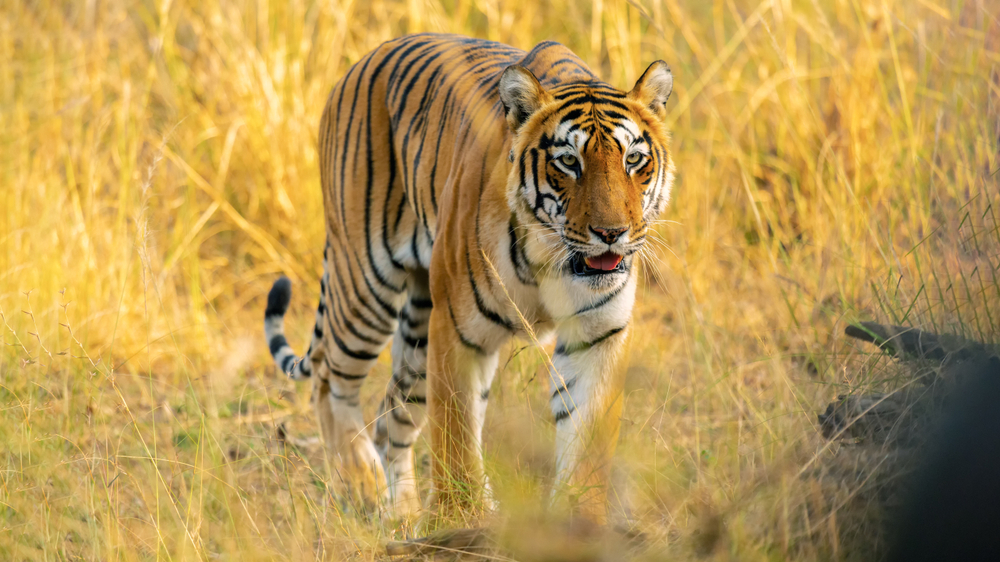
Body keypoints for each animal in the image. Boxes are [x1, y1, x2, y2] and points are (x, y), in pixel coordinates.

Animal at [262, 31, 676, 520]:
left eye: (634, 159)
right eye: (569, 162)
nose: (611, 234)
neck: (550, 258)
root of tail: (359, 63)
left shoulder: (597, 335)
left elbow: (586, 443)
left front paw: (581, 518)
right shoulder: (458, 330)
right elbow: (456, 435)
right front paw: (462, 519)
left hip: (417, 329)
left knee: (392, 417)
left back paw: (402, 514)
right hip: (365, 288)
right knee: (330, 380)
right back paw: (363, 482)